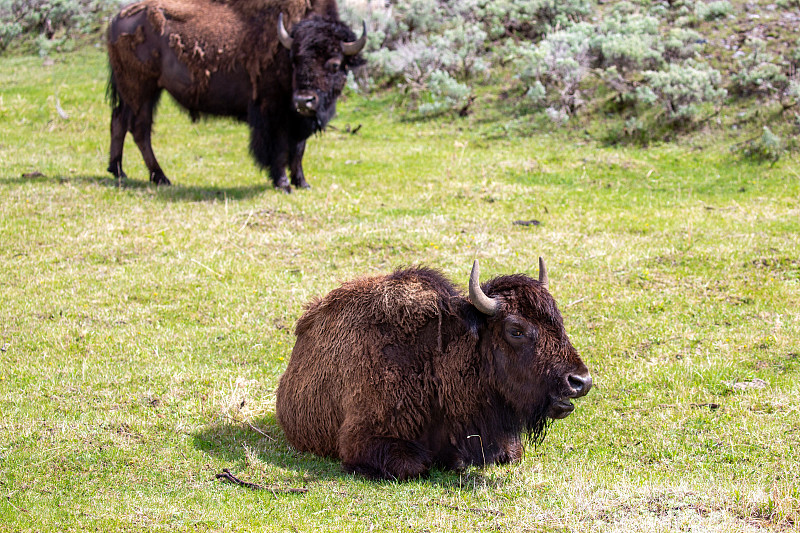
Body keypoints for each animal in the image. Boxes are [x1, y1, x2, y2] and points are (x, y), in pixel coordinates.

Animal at [107, 0, 368, 191]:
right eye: (294, 60)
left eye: (335, 64)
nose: (304, 100)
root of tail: (116, 18)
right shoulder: (274, 113)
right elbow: (280, 148)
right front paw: (283, 184)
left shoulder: (297, 118)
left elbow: (298, 149)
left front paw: (303, 183)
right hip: (142, 91)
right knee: (140, 129)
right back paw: (160, 177)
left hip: (136, 93)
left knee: (119, 121)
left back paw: (118, 171)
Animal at [276, 260, 592, 480]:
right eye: (515, 329)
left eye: (558, 322)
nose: (580, 381)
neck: (434, 363)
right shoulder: (363, 438)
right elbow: (414, 466)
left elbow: (511, 453)